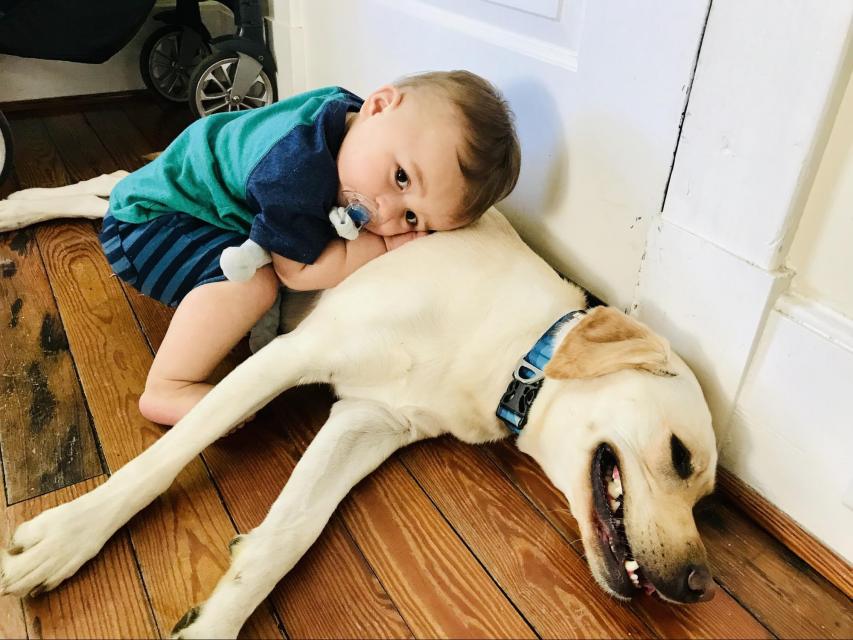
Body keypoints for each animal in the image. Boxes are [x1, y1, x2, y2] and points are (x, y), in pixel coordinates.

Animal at [0, 172, 716, 636]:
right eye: (680, 457)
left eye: (708, 501)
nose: (699, 587)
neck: (516, 352)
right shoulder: (293, 354)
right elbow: (161, 462)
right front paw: (68, 535)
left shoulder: (367, 422)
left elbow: (287, 534)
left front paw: (216, 621)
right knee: (127, 184)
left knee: (118, 193)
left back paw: (18, 206)